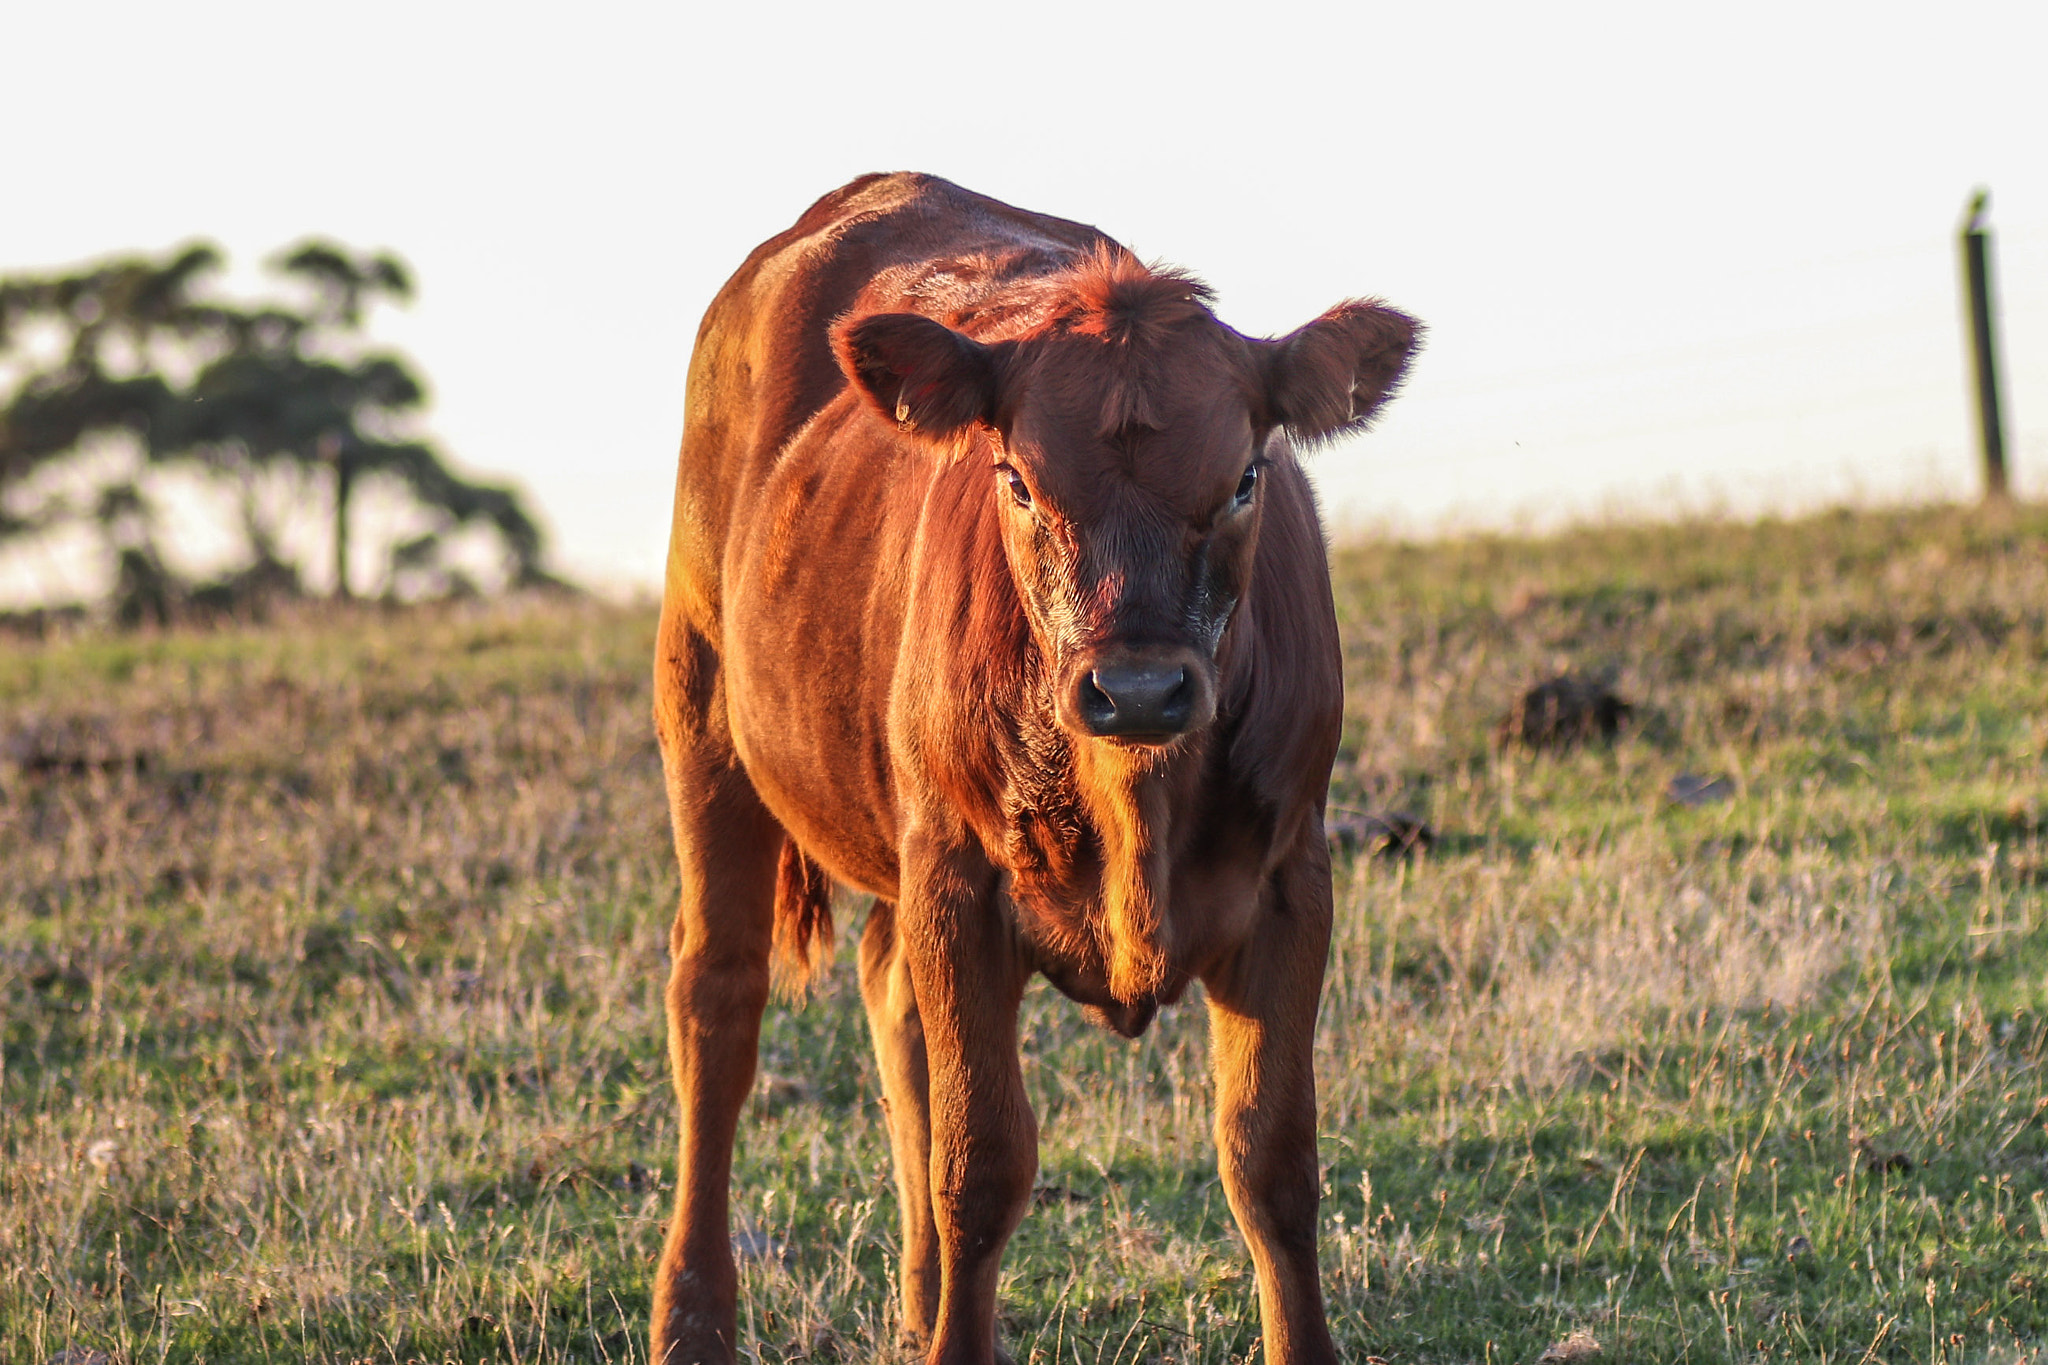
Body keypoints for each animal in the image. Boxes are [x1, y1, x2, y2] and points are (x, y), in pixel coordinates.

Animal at [655, 173, 1425, 1365]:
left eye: (1244, 478)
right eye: (1016, 481)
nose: (1140, 690)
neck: (1134, 802)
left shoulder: (1293, 876)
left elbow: (1271, 1161)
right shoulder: (962, 887)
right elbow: (980, 1167)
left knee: (889, 1002)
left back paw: (921, 1304)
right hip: (702, 714)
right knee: (717, 1003)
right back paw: (692, 1321)